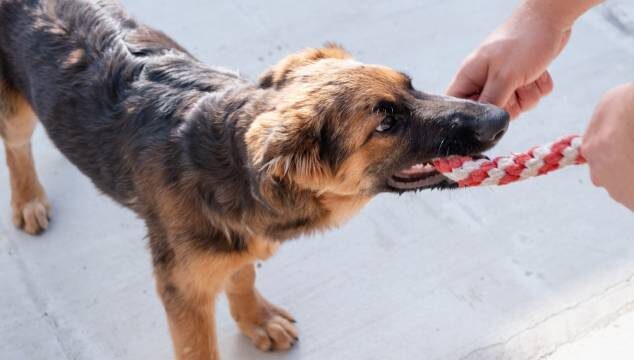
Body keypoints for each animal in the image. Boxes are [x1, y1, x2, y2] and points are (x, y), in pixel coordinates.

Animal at [0, 0, 506, 358]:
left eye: (411, 85)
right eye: (385, 123)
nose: (499, 117)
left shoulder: (238, 238)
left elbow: (241, 274)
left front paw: (255, 320)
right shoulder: (183, 288)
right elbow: (199, 346)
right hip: (16, 110)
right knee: (17, 146)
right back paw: (28, 200)